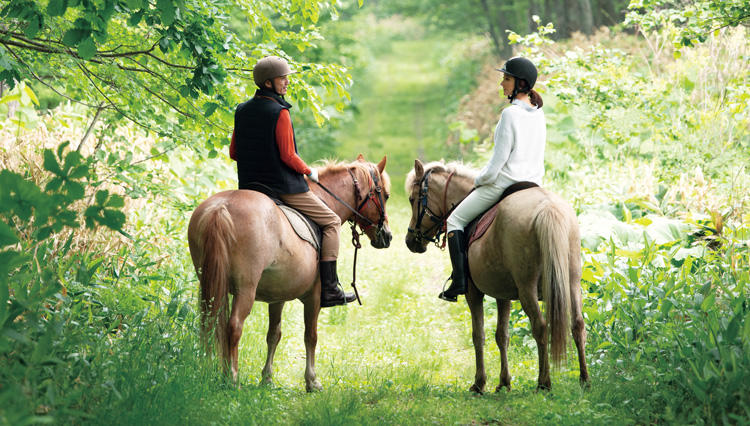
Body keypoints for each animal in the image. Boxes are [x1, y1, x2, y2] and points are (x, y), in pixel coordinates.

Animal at [188, 155, 394, 392]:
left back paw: (213, 373)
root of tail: (222, 207)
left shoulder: (277, 296)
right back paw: (231, 378)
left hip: (212, 285)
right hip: (245, 290)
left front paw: (267, 378)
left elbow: (274, 334)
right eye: (385, 195)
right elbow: (310, 336)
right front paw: (312, 380)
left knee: (212, 324)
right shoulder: (314, 297)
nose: (387, 236)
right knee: (234, 327)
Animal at [406, 161, 588, 392]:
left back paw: (543, 382)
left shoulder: (473, 293)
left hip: (527, 289)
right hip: (571, 284)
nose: (410, 241)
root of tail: (548, 207)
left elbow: (478, 335)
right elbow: (502, 335)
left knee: (540, 326)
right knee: (578, 325)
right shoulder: (503, 295)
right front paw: (504, 382)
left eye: (413, 199)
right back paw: (584, 379)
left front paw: (479, 383)